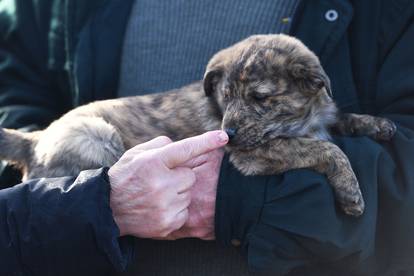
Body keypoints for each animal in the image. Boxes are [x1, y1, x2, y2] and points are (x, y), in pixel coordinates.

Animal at [0, 34, 396, 216]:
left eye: (259, 98)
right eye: (226, 96)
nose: (228, 135)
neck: (302, 117)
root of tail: (34, 141)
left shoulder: (318, 116)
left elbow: (339, 120)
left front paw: (379, 125)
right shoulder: (255, 155)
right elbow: (326, 148)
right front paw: (352, 196)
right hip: (98, 138)